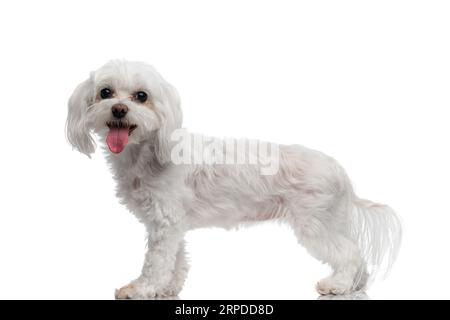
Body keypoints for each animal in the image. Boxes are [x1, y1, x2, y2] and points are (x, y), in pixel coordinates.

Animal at [67, 59, 404, 298]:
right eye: (105, 92)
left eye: (142, 96)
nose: (119, 109)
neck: (148, 151)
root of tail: (340, 171)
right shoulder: (172, 225)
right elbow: (176, 260)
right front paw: (168, 289)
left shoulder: (165, 222)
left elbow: (157, 263)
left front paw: (141, 289)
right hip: (330, 221)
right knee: (356, 255)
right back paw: (354, 285)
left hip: (315, 224)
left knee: (349, 253)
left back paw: (338, 285)